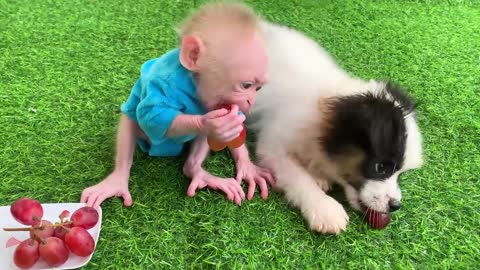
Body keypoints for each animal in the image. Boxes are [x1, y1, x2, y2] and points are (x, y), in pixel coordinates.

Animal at [79, 2, 274, 208]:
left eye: (258, 89)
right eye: (246, 86)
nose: (250, 101)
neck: (195, 84)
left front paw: (246, 162)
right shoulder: (164, 83)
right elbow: (153, 115)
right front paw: (210, 124)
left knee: (193, 157)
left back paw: (197, 171)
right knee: (130, 127)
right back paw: (117, 178)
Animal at [248, 21, 424, 233]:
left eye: (400, 174)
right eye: (380, 167)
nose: (395, 205)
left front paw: (318, 176)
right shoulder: (274, 145)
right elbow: (298, 177)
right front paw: (324, 209)